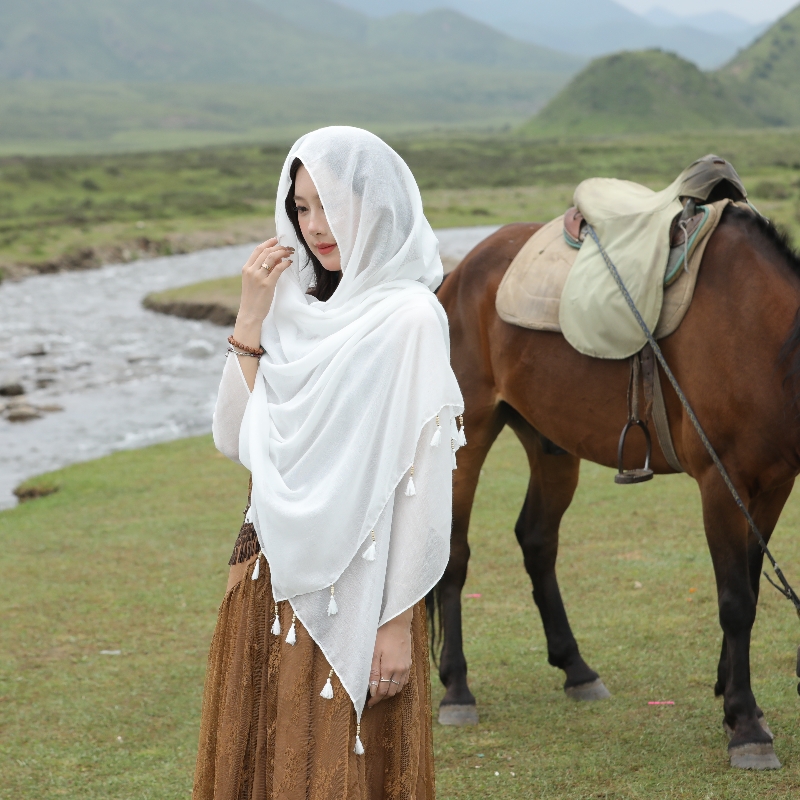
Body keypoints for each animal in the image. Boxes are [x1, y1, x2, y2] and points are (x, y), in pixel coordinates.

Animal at [434, 206, 800, 768]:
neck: (758, 336)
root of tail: (461, 272)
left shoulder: (772, 486)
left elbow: (754, 588)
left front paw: (735, 700)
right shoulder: (722, 486)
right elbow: (737, 600)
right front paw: (745, 725)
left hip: (551, 443)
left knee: (537, 541)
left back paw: (577, 669)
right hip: (467, 437)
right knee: (454, 554)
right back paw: (457, 689)